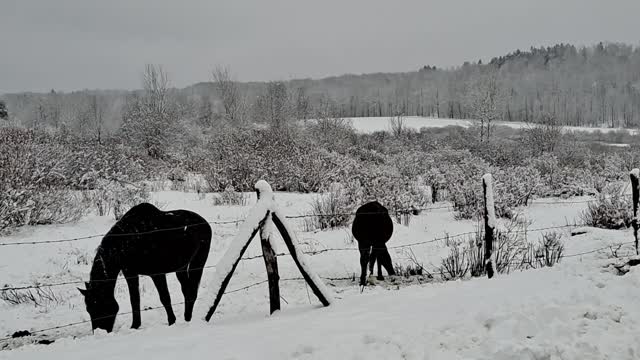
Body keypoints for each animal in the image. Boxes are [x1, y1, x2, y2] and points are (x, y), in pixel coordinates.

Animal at [79, 202, 211, 332]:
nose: (99, 331)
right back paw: (186, 318)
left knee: (192, 291)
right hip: (181, 268)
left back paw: (188, 319)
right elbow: (134, 299)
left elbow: (165, 298)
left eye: (98, 306)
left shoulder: (157, 274)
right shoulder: (130, 273)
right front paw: (135, 325)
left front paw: (171, 322)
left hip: (198, 263)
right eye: (88, 309)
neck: (128, 241)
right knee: (187, 290)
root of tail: (205, 223)